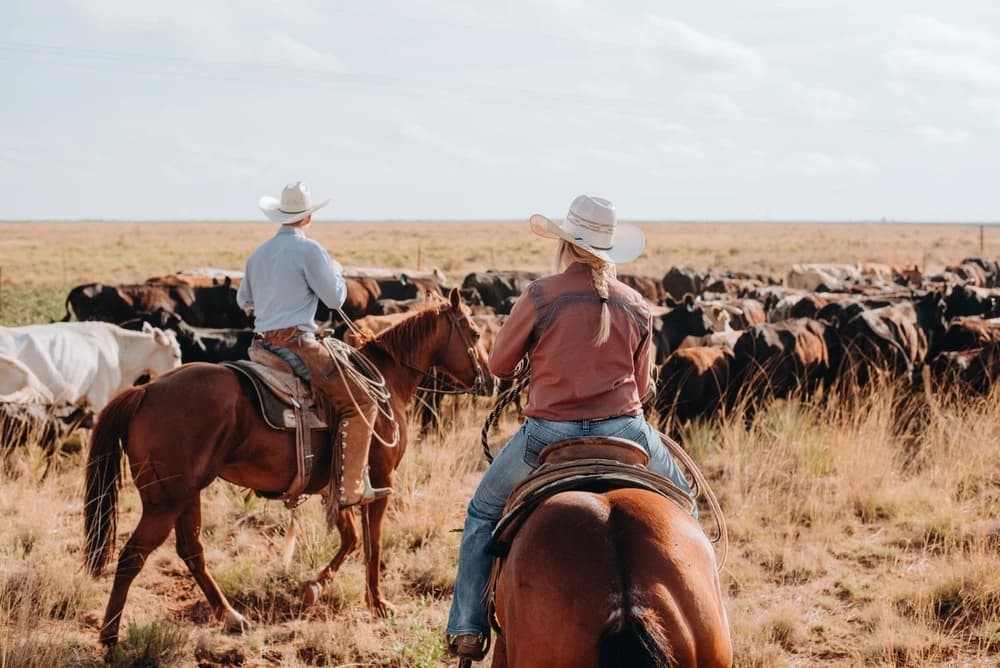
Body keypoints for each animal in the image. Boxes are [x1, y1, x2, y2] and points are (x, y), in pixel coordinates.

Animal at [84, 290, 490, 644]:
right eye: (474, 332)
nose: (488, 379)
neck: (385, 381)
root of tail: (146, 391)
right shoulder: (378, 479)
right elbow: (372, 543)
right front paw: (377, 603)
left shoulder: (337, 484)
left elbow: (350, 538)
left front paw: (312, 588)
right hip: (164, 502)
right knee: (133, 556)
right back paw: (110, 635)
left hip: (186, 495)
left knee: (191, 549)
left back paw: (231, 616)